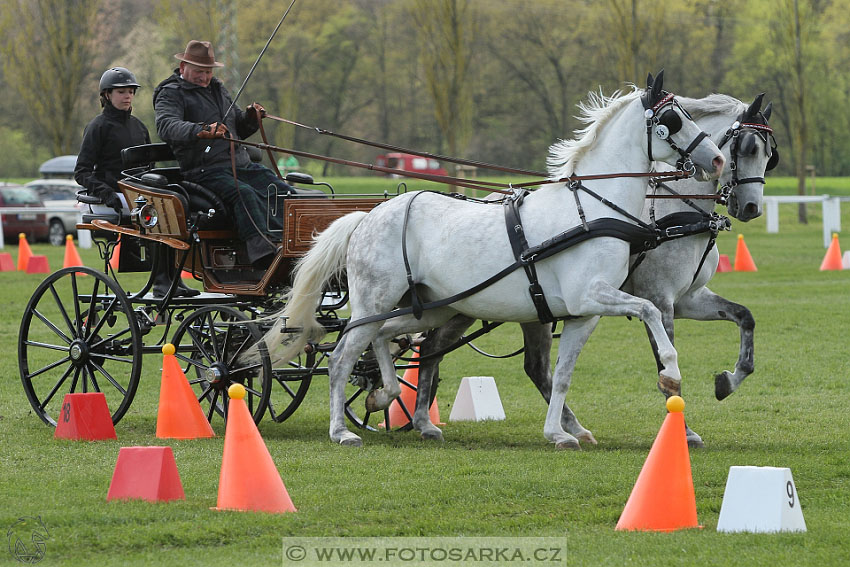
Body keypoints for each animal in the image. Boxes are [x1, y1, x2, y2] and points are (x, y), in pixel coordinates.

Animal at [260, 73, 724, 446]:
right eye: (674, 119)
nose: (716, 158)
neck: (592, 209)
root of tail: (367, 216)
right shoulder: (592, 294)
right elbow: (649, 310)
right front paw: (670, 371)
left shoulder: (583, 313)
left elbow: (560, 375)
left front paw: (559, 433)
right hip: (374, 301)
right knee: (343, 356)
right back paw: (341, 430)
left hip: (428, 308)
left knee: (391, 340)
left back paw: (386, 395)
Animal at [410, 92, 776, 448]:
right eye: (747, 148)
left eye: (770, 155)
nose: (751, 207)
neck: (670, 214)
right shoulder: (660, 298)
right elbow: (664, 358)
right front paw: (683, 429)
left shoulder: (689, 298)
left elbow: (745, 317)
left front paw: (728, 381)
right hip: (467, 303)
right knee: (433, 349)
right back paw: (425, 420)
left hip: (521, 307)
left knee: (530, 367)